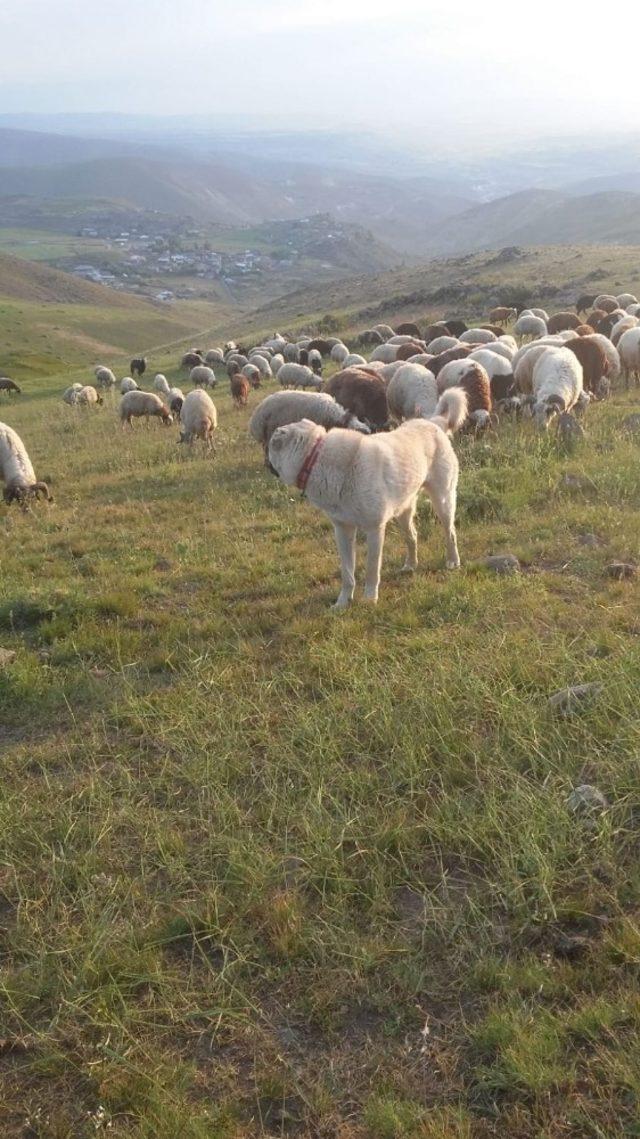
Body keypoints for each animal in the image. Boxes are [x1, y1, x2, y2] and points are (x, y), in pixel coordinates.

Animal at [266, 389, 466, 610]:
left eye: (270, 447)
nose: (265, 462)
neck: (316, 457)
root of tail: (433, 422)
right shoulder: (343, 531)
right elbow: (347, 573)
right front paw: (342, 603)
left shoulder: (374, 529)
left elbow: (371, 569)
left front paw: (370, 599)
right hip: (403, 512)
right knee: (412, 536)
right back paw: (410, 566)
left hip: (443, 502)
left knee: (450, 533)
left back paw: (452, 562)